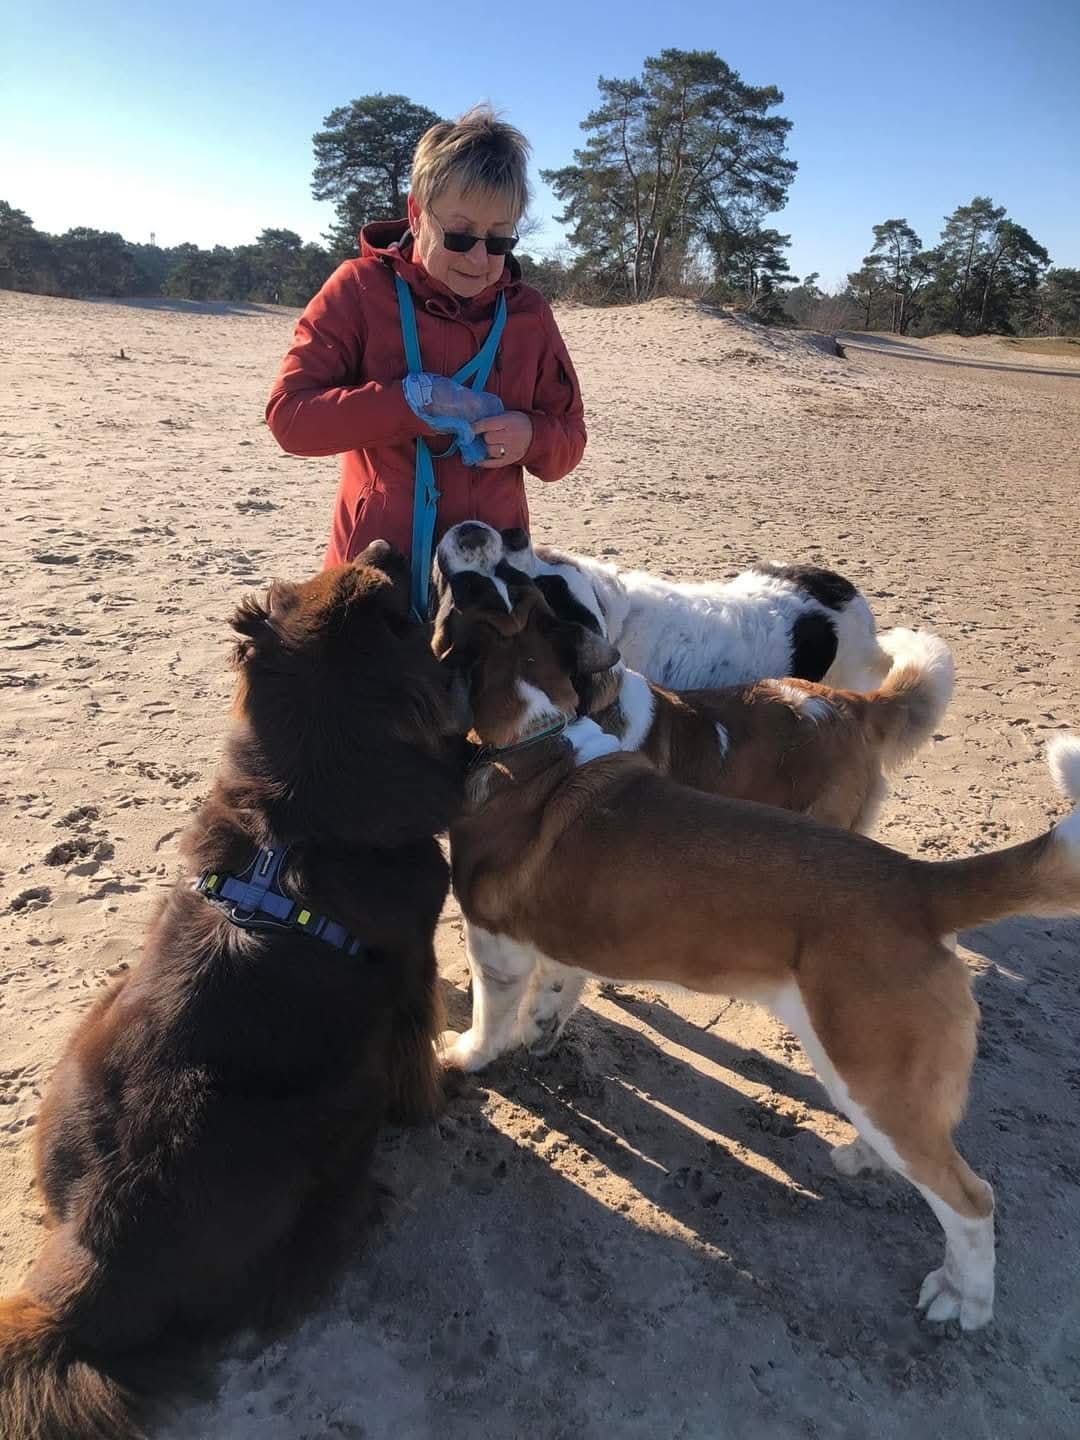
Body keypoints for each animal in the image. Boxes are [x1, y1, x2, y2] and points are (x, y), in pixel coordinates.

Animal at [0, 543, 464, 1440]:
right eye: (394, 602)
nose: (389, 546)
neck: (302, 811)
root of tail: (100, 1255)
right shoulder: (411, 972)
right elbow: (420, 1052)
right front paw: (444, 1089)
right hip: (329, 1122)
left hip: (87, 1037)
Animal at [441, 576, 1080, 1330]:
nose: (455, 573)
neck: (539, 734)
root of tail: (916, 881)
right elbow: (556, 992)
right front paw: (542, 1032)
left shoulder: (494, 945)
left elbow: (491, 1017)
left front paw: (466, 1056)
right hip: (877, 1080)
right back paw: (866, 1158)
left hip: (870, 1066)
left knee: (972, 1202)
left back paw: (965, 1297)